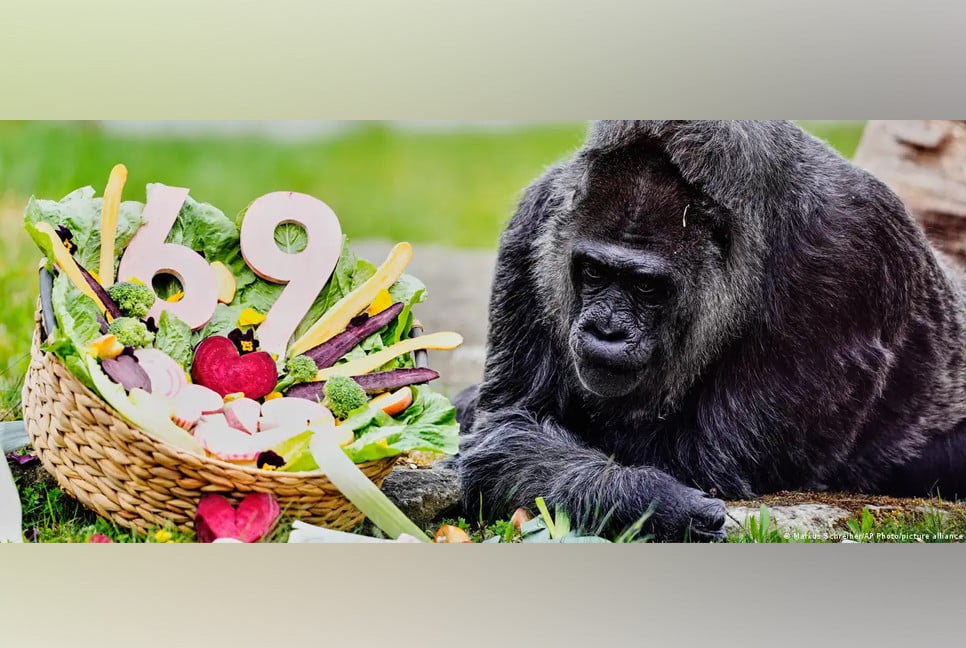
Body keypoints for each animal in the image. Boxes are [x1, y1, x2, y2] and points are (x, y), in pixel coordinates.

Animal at [455, 120, 966, 542]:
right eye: (595, 272)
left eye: (646, 287)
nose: (606, 331)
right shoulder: (536, 219)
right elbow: (509, 426)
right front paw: (645, 497)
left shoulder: (850, 257)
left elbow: (706, 462)